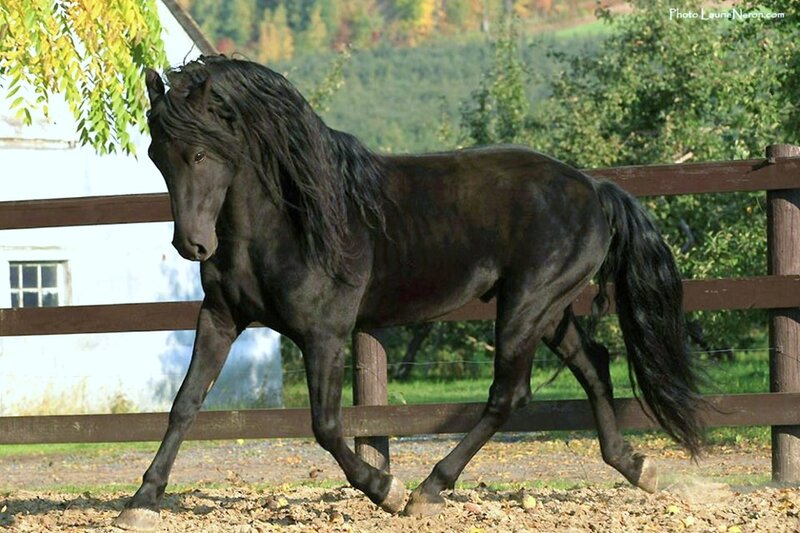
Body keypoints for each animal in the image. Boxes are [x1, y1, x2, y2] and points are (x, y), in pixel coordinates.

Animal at [114, 55, 704, 530]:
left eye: (200, 153)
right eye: (157, 154)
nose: (192, 244)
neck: (288, 222)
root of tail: (594, 189)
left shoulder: (324, 334)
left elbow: (327, 426)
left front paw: (386, 491)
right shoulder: (220, 319)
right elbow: (185, 404)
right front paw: (142, 501)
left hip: (525, 307)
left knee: (508, 395)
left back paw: (428, 489)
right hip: (549, 310)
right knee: (595, 367)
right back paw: (637, 467)